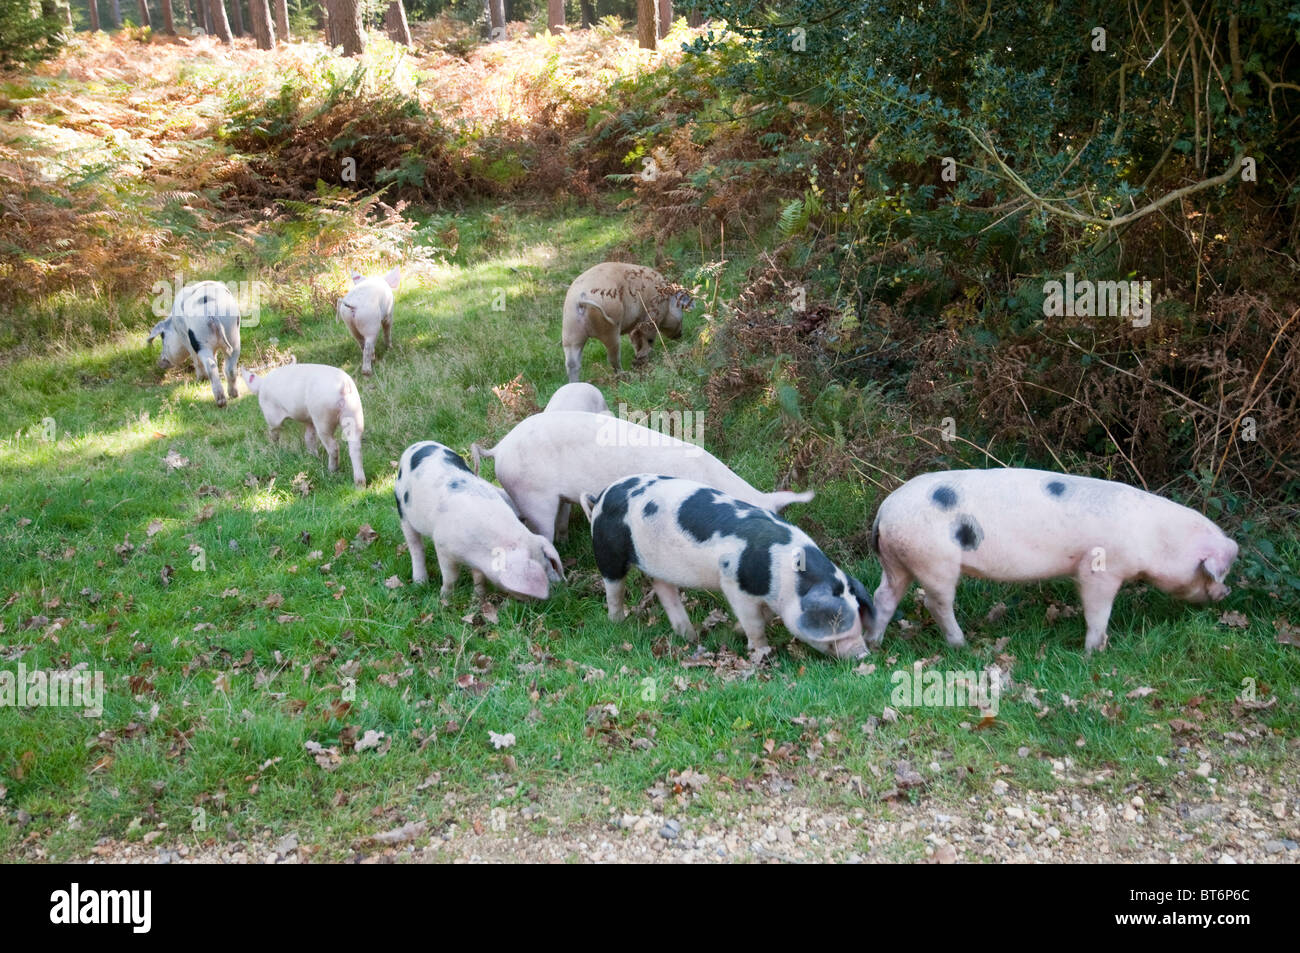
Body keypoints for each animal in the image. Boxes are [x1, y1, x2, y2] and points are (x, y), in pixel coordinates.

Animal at [390, 439, 564, 603]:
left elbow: (479, 577)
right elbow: (450, 576)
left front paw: (478, 598)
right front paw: (445, 598)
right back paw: (420, 582)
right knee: (415, 547)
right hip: (402, 508)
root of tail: (416, 445)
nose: (550, 596)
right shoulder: (442, 546)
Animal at [564, 260, 696, 382]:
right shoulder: (651, 318)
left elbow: (635, 340)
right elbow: (648, 339)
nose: (680, 335)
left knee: (572, 363)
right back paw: (624, 375)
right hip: (610, 328)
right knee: (612, 358)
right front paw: (642, 358)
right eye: (680, 309)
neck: (666, 299)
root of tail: (581, 298)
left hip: (570, 331)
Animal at [582, 475, 873, 660]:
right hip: (608, 551)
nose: (862, 655)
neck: (787, 581)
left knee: (665, 590)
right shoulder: (733, 582)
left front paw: (732, 631)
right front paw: (760, 652)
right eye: (835, 628)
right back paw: (618, 623)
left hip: (657, 565)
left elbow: (763, 617)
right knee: (614, 589)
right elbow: (755, 622)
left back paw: (690, 636)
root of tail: (601, 497)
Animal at [863, 470, 1237, 655]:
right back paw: (962, 646)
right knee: (936, 603)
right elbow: (1097, 610)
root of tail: (884, 511)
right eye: (1215, 573)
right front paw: (1095, 652)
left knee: (884, 596)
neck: (1157, 539)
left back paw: (875, 644)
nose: (1225, 594)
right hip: (934, 560)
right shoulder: (1100, 568)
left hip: (898, 561)